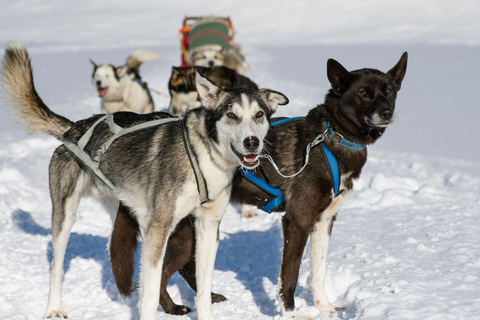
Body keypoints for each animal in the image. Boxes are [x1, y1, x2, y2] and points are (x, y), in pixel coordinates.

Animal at [0, 42, 286, 320]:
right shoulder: (158, 229)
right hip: (65, 214)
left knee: (112, 246)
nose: (252, 142)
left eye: (259, 114)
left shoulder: (207, 226)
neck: (202, 153)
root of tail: (73, 129)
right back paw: (54, 308)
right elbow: (149, 294)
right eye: (231, 115)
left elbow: (203, 289)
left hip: (122, 208)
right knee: (56, 265)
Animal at [109, 52, 408, 318]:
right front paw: (290, 314)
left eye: (389, 90)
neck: (329, 139)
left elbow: (318, 272)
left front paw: (325, 308)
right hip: (181, 233)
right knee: (159, 276)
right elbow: (290, 277)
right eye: (364, 93)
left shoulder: (324, 221)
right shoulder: (297, 221)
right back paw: (174, 308)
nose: (387, 112)